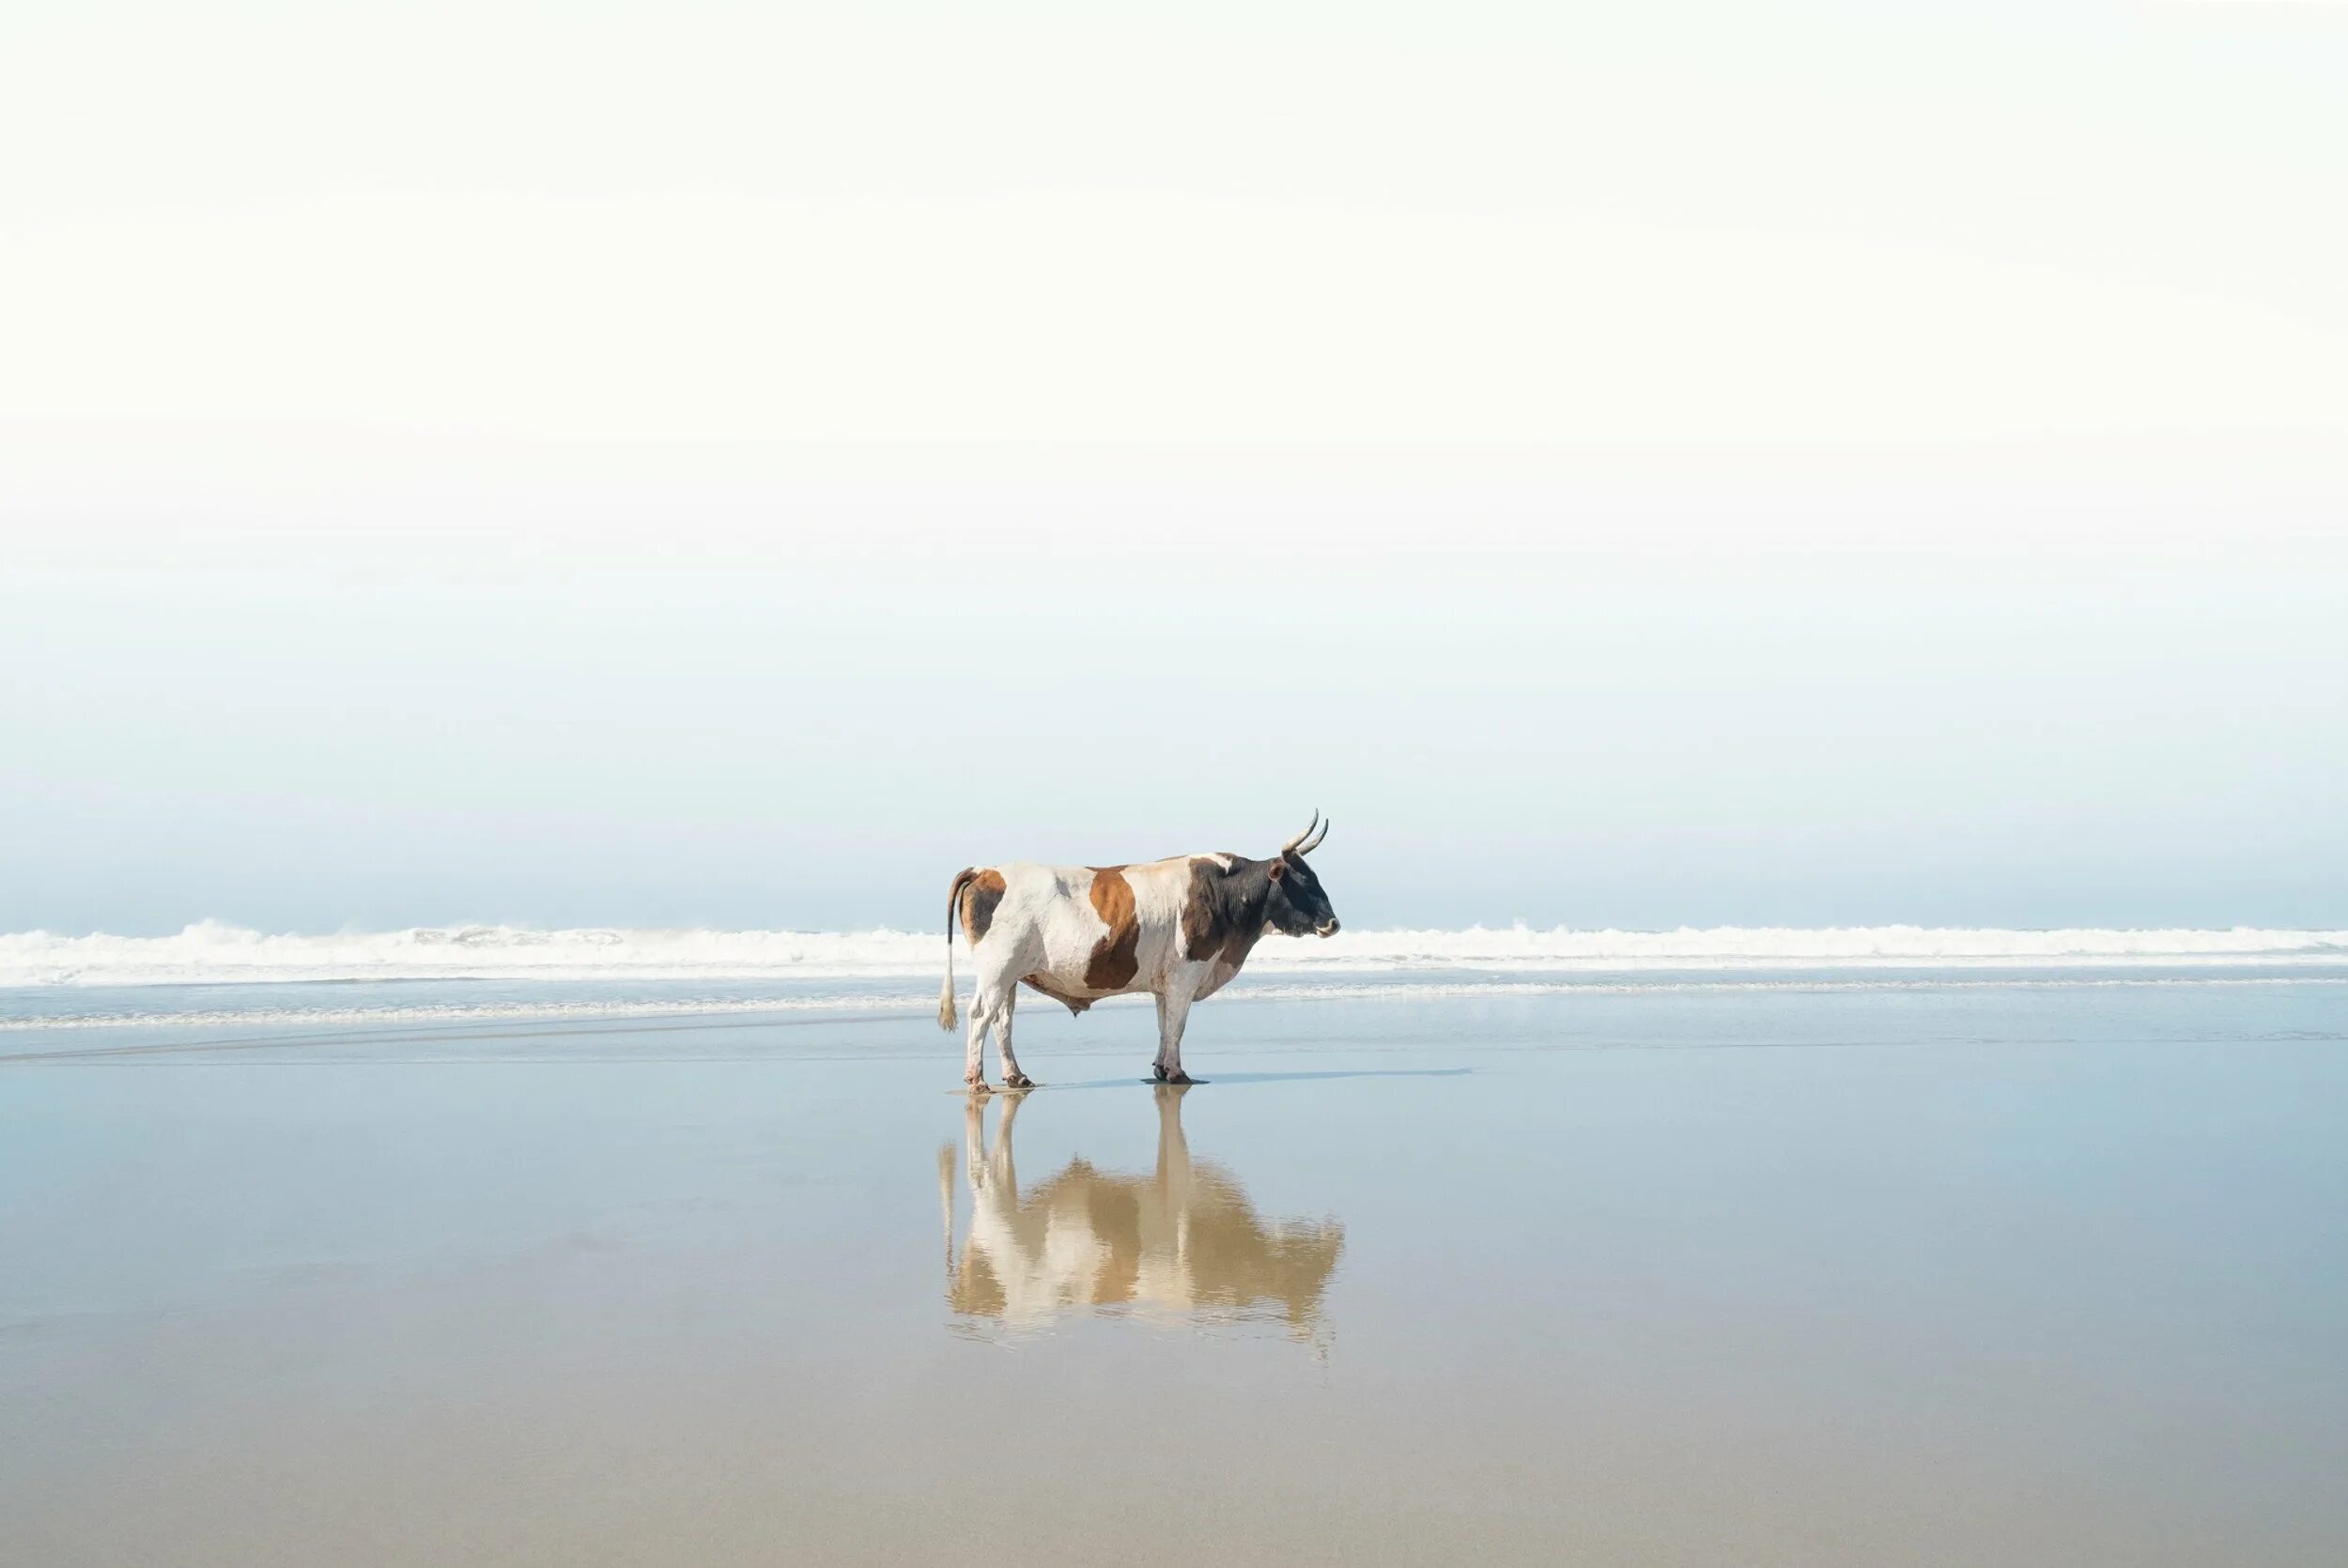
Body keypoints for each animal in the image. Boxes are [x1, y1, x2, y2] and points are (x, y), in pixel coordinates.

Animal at [937, 813, 1340, 1089]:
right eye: (1303, 881)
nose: (1334, 923)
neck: (1223, 892)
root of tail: (987, 869)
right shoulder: (1185, 974)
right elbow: (1177, 1024)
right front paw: (1177, 1073)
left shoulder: (1165, 981)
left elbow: (1164, 1024)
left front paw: (1161, 1070)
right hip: (998, 969)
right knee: (980, 1015)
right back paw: (977, 1080)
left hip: (1011, 975)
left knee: (1002, 1021)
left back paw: (1017, 1077)